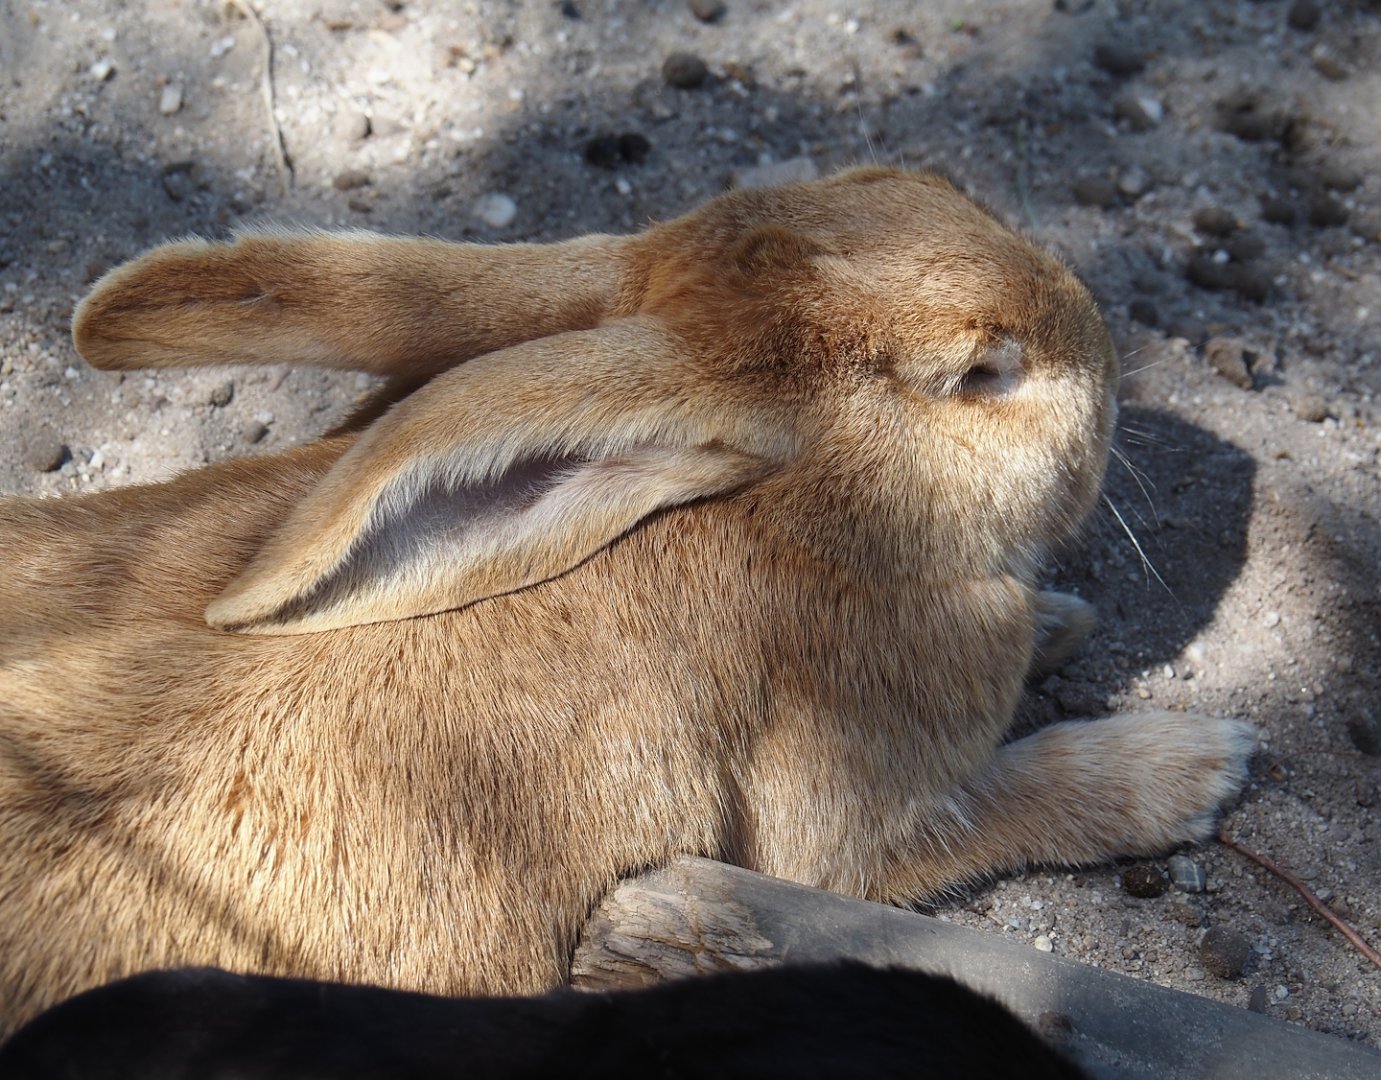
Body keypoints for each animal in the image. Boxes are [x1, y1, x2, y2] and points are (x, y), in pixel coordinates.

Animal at [0, 167, 1255, 1035]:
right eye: (980, 375)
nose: (1101, 342)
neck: (796, 516)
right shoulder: (854, 818)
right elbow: (1010, 801)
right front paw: (1196, 765)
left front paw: (1065, 627)